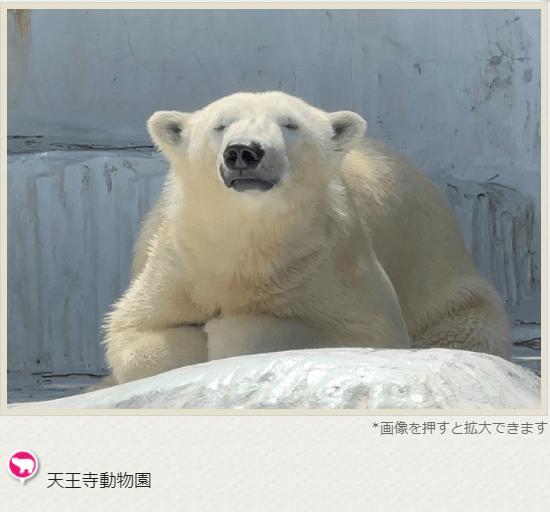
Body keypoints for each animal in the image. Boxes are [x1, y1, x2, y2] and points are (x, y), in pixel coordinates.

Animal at [96, 92, 512, 388]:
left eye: (289, 124)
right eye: (220, 125)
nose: (244, 151)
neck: (249, 238)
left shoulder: (329, 258)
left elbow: (363, 331)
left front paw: (226, 332)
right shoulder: (181, 260)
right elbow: (130, 330)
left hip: (450, 284)